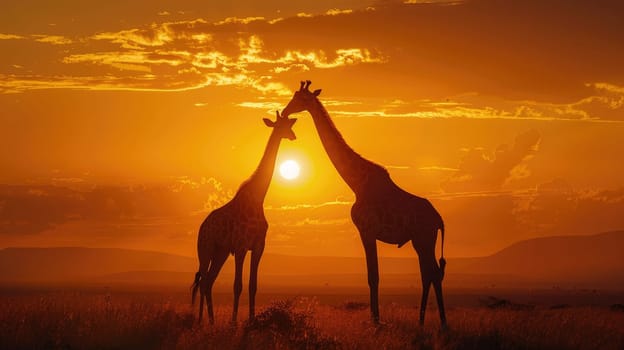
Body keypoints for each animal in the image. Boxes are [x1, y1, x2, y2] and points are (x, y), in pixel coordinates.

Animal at [190, 110, 298, 324]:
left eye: (289, 124)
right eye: (280, 125)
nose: (293, 135)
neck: (258, 198)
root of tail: (202, 227)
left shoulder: (258, 246)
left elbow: (252, 285)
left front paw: (252, 320)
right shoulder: (240, 247)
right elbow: (237, 285)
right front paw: (233, 322)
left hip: (221, 252)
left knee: (209, 281)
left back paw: (212, 321)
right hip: (205, 249)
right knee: (203, 280)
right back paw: (200, 321)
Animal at [282, 80, 448, 326]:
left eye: (301, 99)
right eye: (294, 96)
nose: (285, 111)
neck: (356, 183)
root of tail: (439, 219)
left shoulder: (366, 231)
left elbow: (373, 276)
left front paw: (376, 320)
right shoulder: (368, 232)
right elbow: (374, 276)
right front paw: (375, 318)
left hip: (424, 238)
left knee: (433, 273)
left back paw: (443, 324)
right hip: (421, 241)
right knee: (429, 274)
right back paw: (423, 322)